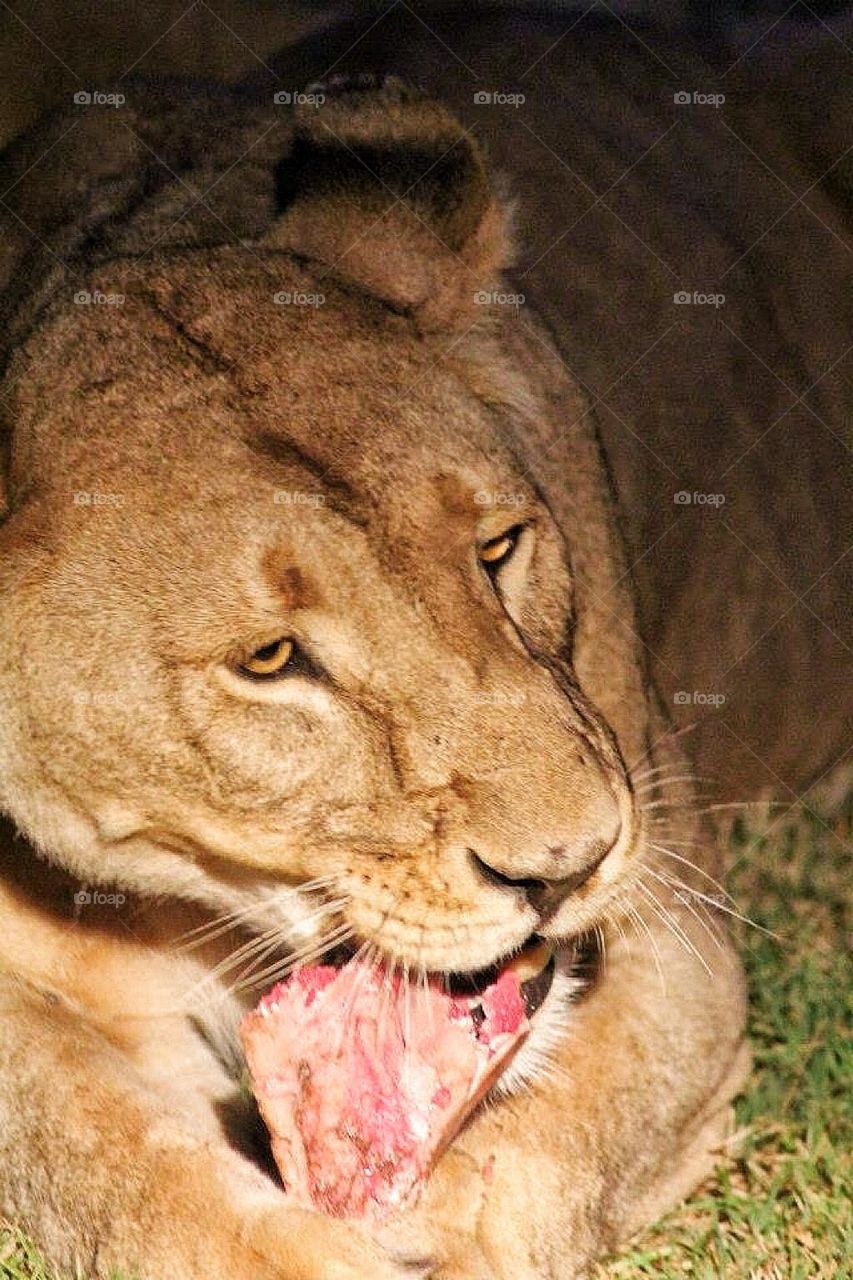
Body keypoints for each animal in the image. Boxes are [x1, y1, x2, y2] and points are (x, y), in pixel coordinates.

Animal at [0, 7, 849, 1279]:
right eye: (270, 661)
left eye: (497, 547)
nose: (566, 866)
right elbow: (126, 1180)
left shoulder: (675, 921)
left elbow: (540, 1159)